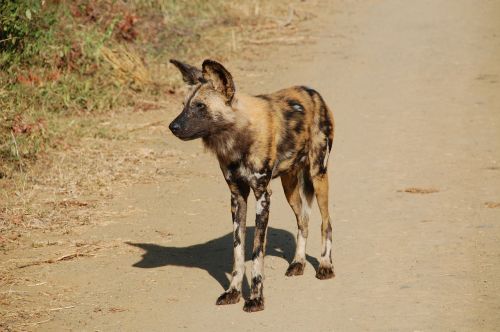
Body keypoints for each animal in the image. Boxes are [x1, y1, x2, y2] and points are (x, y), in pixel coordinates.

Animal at [169, 59, 336, 312]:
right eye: (183, 105)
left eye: (200, 106)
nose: (172, 126)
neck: (237, 139)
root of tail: (312, 91)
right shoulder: (237, 197)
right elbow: (238, 253)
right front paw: (233, 292)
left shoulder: (262, 196)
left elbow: (257, 253)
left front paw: (256, 298)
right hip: (290, 186)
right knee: (303, 221)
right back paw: (298, 263)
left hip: (318, 176)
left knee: (326, 223)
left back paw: (325, 265)